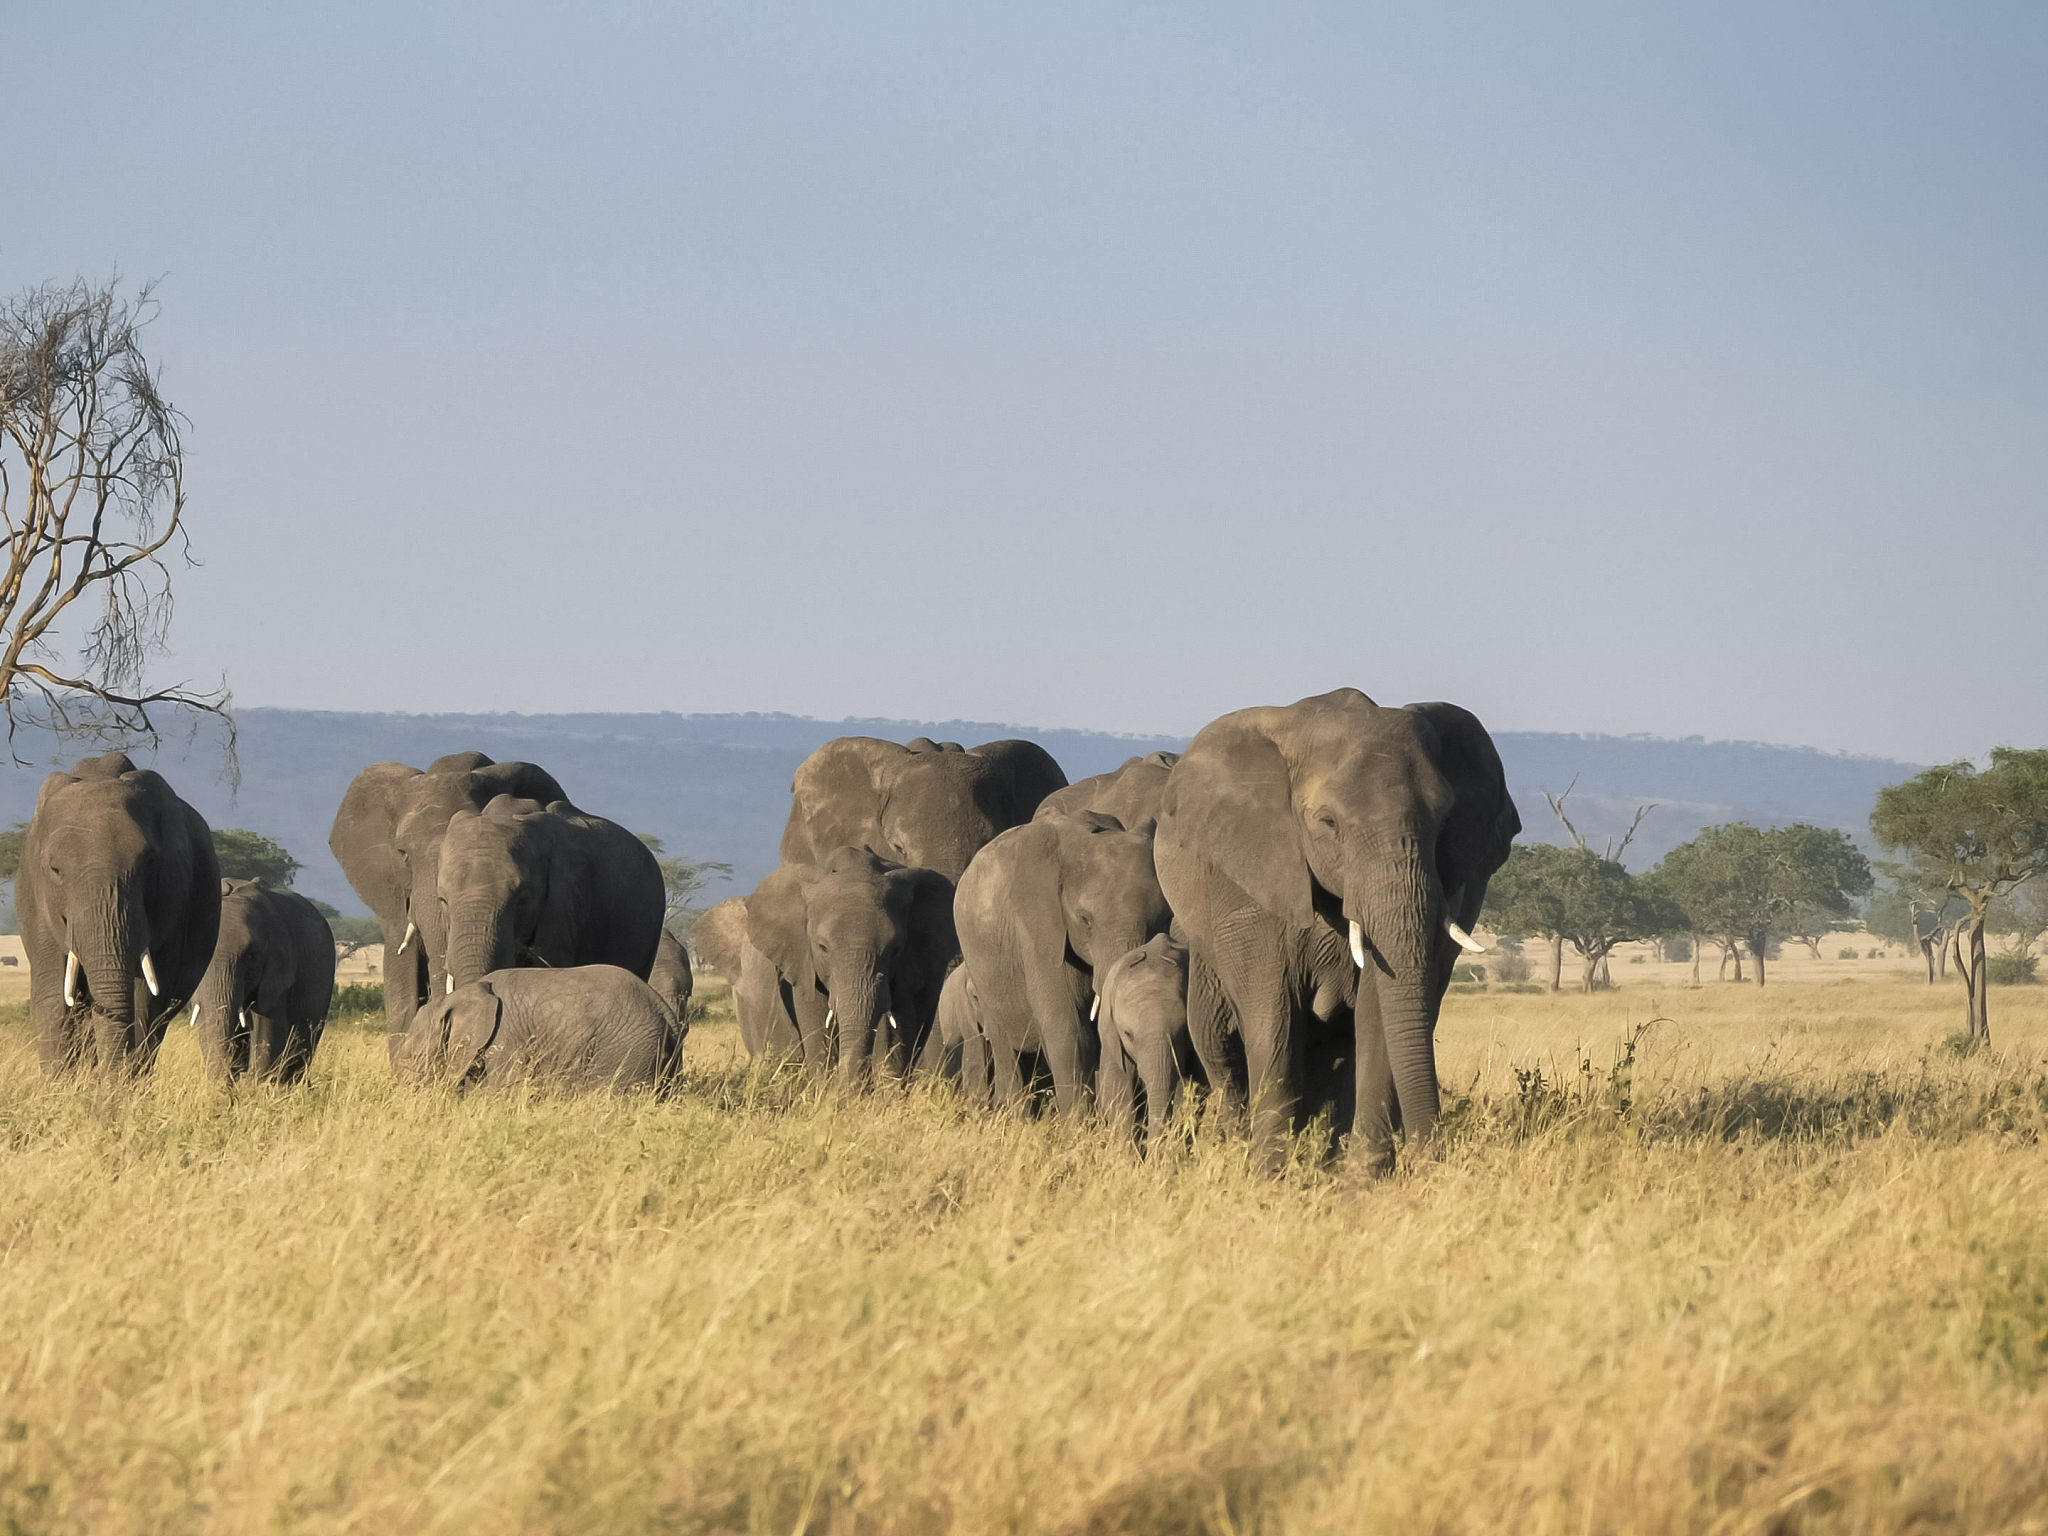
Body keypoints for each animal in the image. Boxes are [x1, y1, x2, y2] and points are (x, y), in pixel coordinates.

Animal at [17, 752, 221, 1076]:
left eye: (150, 864)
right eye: (55, 870)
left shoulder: (173, 900)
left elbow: (142, 999)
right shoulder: (36, 900)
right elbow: (53, 1000)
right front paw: (60, 1086)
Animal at [953, 811, 1173, 1113]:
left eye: (1165, 918)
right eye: (1085, 920)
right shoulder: (1037, 927)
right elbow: (1069, 1032)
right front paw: (1079, 1124)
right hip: (979, 968)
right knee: (1005, 1045)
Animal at [1154, 688, 1519, 1173]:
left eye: (1444, 821)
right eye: (1329, 823)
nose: (1430, 1161)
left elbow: (1375, 1015)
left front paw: (1362, 1180)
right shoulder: (1251, 872)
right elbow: (1274, 1017)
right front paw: (1270, 1177)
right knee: (1221, 1045)